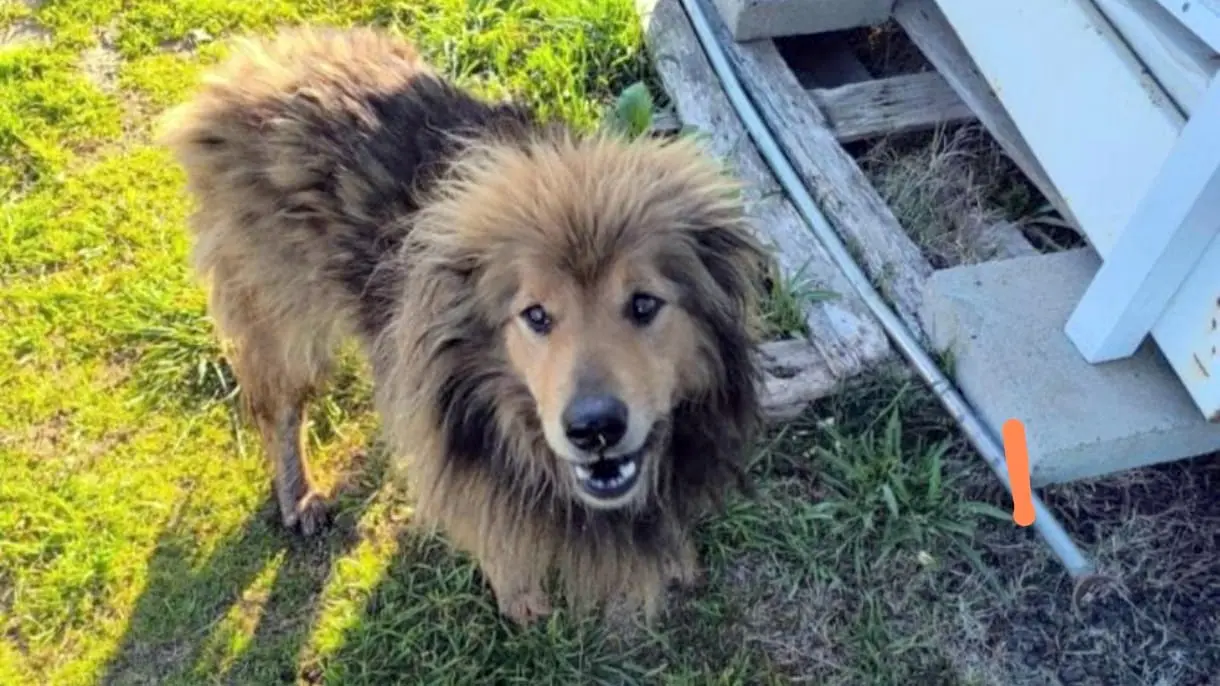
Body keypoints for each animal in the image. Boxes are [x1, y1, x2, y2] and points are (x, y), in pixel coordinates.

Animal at [160, 26, 770, 625]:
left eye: (644, 304)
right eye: (536, 315)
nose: (593, 429)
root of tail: (252, 60)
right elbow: (492, 534)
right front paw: (521, 601)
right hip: (282, 319)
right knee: (277, 409)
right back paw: (299, 497)